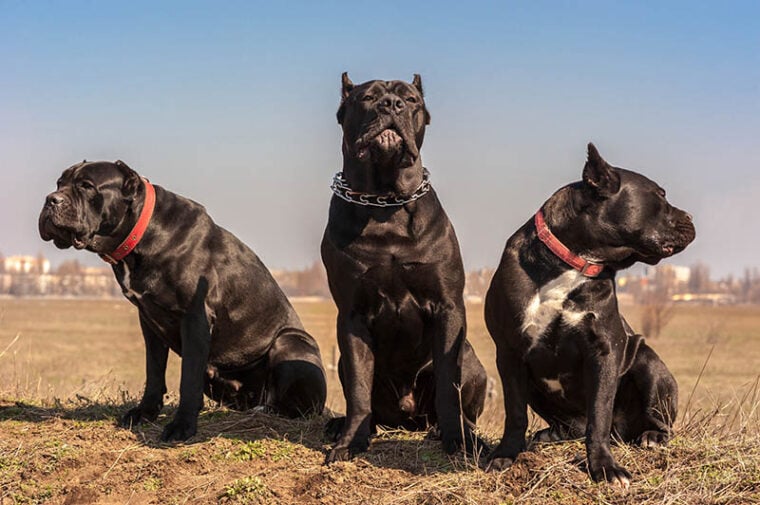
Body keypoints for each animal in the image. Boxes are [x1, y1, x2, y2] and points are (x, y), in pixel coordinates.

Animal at [39, 159, 324, 440]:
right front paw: (145, 413)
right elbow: (154, 371)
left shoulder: (195, 316)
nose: (51, 199)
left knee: (292, 406)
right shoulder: (149, 320)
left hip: (290, 342)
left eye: (87, 186)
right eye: (59, 183)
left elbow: (188, 377)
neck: (144, 233)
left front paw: (181, 426)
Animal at [320, 73, 486, 462]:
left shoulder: (448, 306)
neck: (386, 203)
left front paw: (458, 440)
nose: (391, 105)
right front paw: (349, 442)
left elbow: (448, 385)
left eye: (410, 100)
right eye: (367, 97)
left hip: (472, 358)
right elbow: (359, 389)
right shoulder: (351, 316)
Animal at [486, 144, 696, 486]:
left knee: (655, 421)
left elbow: (598, 416)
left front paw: (605, 468)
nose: (690, 216)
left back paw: (651, 436)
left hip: (650, 365)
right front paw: (506, 455)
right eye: (660, 195)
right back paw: (547, 436)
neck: (573, 261)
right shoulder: (510, 352)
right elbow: (514, 412)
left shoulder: (604, 351)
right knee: (569, 427)